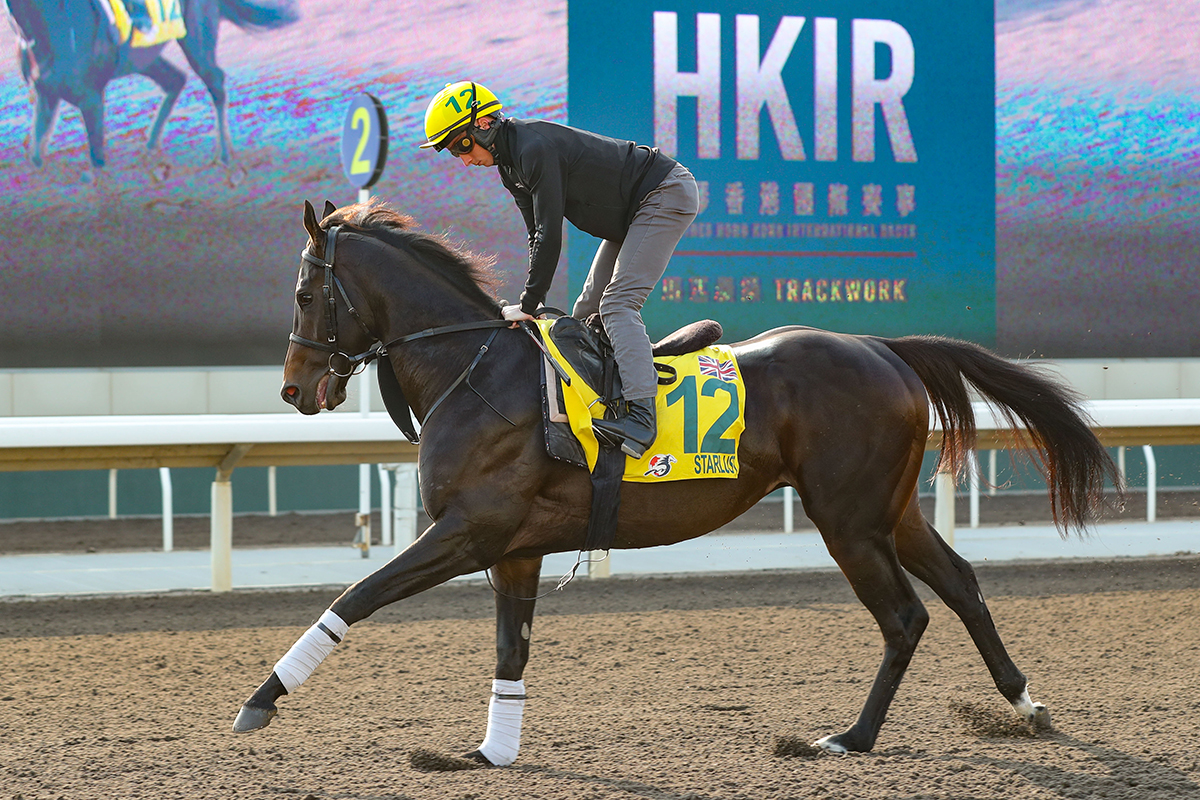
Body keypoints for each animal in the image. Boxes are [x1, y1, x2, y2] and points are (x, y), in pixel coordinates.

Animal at [5, 0, 296, 167]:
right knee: (176, 80)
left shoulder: (91, 100)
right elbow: (36, 155)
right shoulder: (46, 95)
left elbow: (98, 165)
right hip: (144, 59)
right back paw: (149, 148)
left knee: (216, 84)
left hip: (196, 41)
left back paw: (224, 155)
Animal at [229, 200, 1118, 762]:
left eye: (306, 293)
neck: (471, 370)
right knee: (962, 585)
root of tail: (885, 347)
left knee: (904, 617)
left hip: (848, 519)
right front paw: (491, 751)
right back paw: (1026, 705)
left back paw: (849, 739)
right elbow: (511, 649)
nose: (295, 390)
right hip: (887, 512)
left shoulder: (470, 529)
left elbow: (355, 597)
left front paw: (261, 700)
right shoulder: (514, 547)